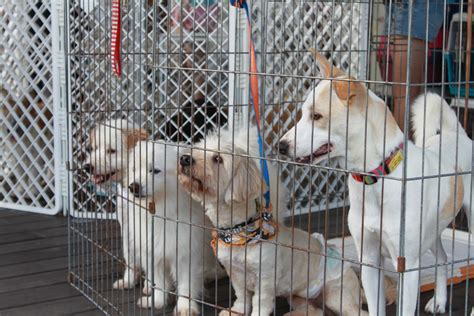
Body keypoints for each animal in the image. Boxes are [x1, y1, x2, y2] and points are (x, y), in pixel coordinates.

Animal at [280, 50, 464, 314]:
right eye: (304, 114)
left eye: (317, 116)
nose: (280, 146)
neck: (375, 178)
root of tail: (455, 135)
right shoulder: (368, 260)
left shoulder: (407, 267)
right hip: (432, 232)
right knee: (442, 258)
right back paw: (439, 301)